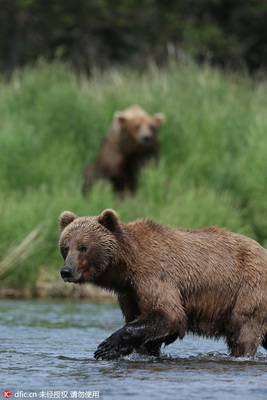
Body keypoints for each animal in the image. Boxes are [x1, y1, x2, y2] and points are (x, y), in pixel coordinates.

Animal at [58, 209, 267, 360]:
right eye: (65, 247)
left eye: (83, 247)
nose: (66, 271)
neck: (128, 264)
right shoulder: (130, 292)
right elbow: (144, 325)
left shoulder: (153, 276)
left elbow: (169, 313)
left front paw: (107, 346)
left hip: (249, 291)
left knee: (243, 331)